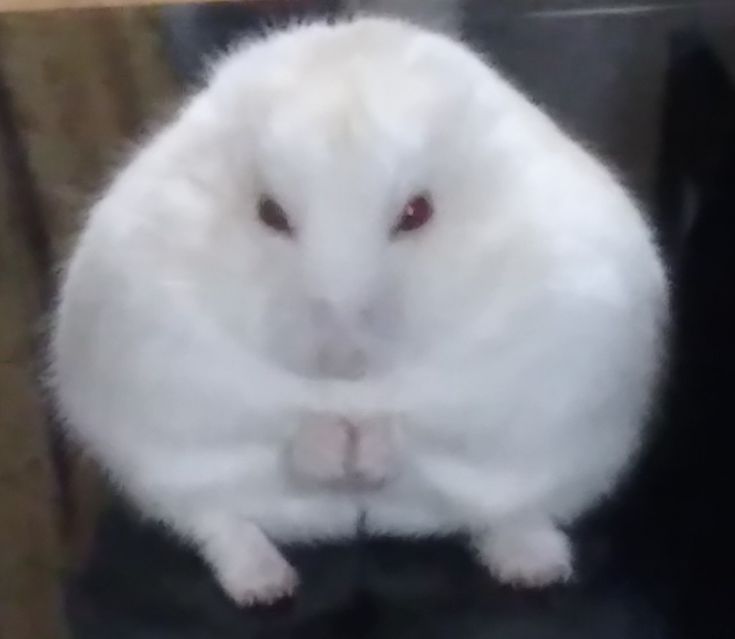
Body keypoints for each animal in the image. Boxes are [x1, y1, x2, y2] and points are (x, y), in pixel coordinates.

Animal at [51, 18, 668, 604]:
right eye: (270, 213)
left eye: (416, 213)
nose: (342, 358)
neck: (352, 390)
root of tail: (360, 526)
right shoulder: (172, 350)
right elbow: (274, 416)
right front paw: (337, 449)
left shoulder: (528, 354)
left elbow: (430, 419)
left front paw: (364, 449)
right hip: (164, 479)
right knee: (220, 524)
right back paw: (265, 586)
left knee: (508, 516)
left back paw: (534, 569)